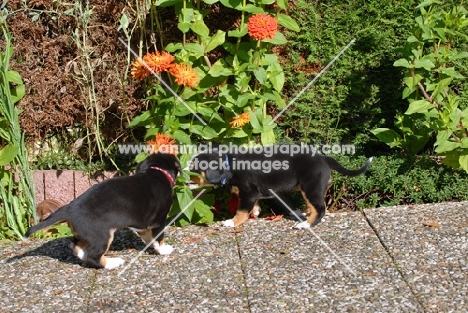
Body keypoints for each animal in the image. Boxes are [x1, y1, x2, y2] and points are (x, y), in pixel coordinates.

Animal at [23, 153, 181, 268]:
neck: (155, 172)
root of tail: (69, 208)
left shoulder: (141, 225)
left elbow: (148, 237)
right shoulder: (159, 220)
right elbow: (159, 237)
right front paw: (164, 249)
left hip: (86, 234)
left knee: (76, 247)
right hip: (102, 235)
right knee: (93, 257)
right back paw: (113, 263)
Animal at [188, 147, 372, 228]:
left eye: (194, 167)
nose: (183, 173)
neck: (229, 165)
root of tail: (324, 158)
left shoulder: (249, 193)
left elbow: (241, 211)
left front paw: (232, 222)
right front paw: (255, 212)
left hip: (310, 186)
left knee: (320, 208)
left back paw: (306, 225)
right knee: (314, 205)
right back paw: (302, 214)